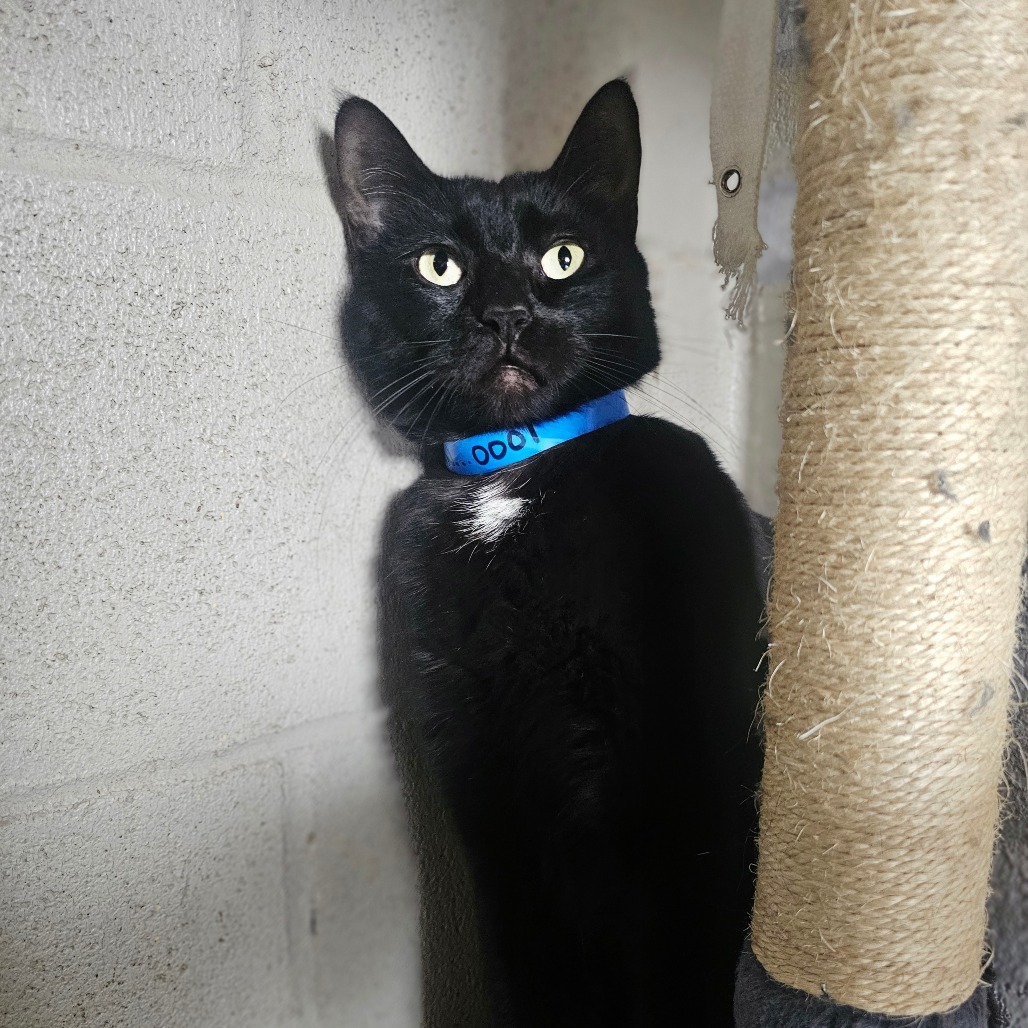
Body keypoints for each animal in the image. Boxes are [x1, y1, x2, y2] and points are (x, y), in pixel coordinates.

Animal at [335, 82, 764, 1028]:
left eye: (564, 258)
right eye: (440, 267)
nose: (506, 315)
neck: (515, 472)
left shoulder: (684, 782)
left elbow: (680, 957)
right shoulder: (480, 780)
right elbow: (526, 963)